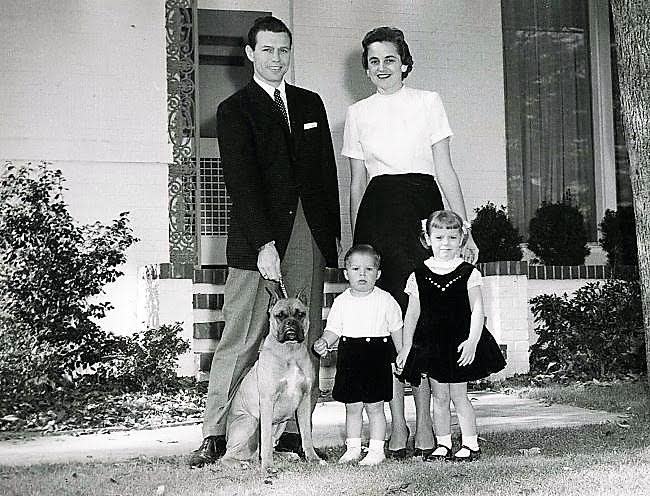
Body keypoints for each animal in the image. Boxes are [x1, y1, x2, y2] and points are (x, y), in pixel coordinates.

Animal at [220, 288, 324, 470]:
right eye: (279, 315)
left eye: (300, 314)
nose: (290, 323)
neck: (290, 351)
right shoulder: (267, 401)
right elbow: (266, 439)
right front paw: (268, 466)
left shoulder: (304, 400)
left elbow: (306, 435)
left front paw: (314, 458)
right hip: (250, 421)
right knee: (228, 456)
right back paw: (242, 464)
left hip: (280, 424)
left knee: (266, 447)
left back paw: (285, 456)